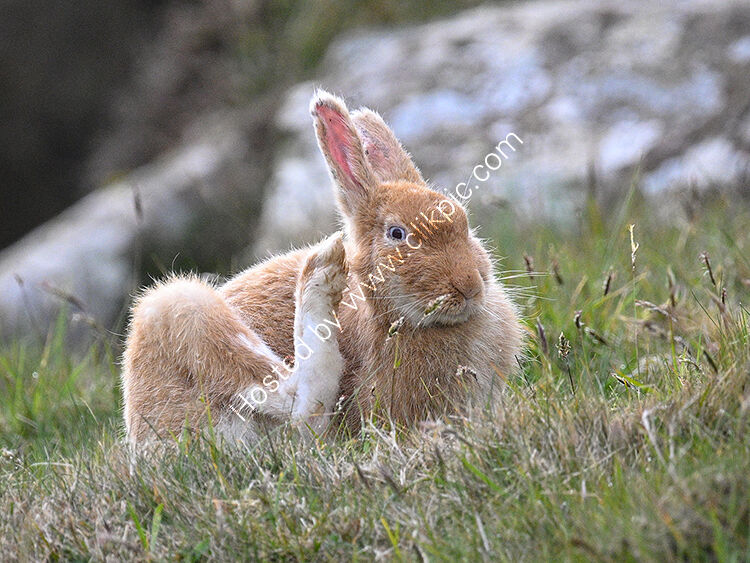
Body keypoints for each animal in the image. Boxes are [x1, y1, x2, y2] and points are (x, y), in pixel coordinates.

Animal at [121, 89, 523, 446]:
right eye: (398, 234)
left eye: (463, 220)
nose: (470, 287)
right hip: (180, 309)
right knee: (297, 404)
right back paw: (320, 273)